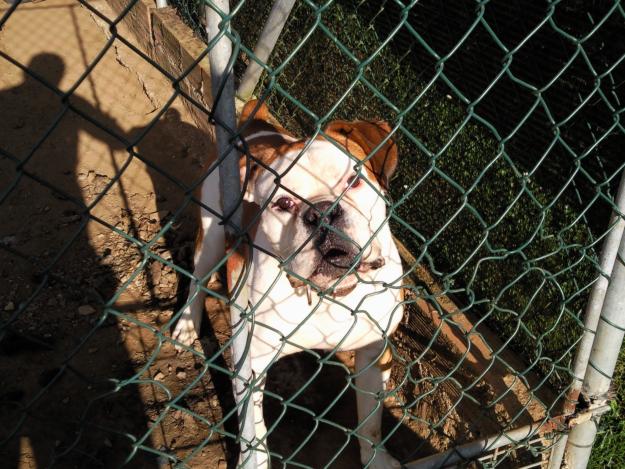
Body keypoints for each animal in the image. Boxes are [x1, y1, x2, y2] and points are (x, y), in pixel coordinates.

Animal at [172, 100, 404, 466]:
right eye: (283, 203)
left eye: (353, 180)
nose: (322, 212)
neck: (331, 293)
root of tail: (258, 124)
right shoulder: (250, 364)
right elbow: (253, 428)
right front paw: (254, 461)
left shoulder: (373, 353)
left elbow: (371, 420)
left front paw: (377, 459)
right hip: (210, 236)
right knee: (198, 279)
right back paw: (186, 324)